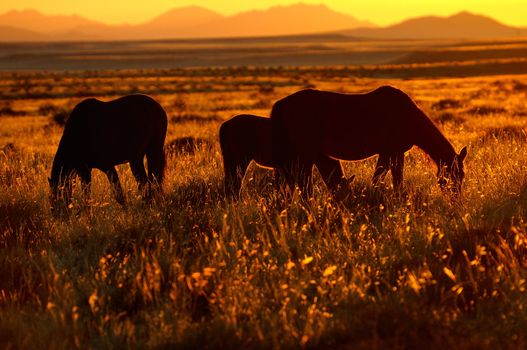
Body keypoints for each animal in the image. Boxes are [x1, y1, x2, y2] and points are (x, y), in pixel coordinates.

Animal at [270, 85, 468, 194]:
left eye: (462, 175)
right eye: (453, 175)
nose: (455, 198)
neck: (409, 117)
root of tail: (281, 104)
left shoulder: (392, 153)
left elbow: (386, 178)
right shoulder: (392, 152)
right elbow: (387, 179)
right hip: (305, 154)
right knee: (303, 181)